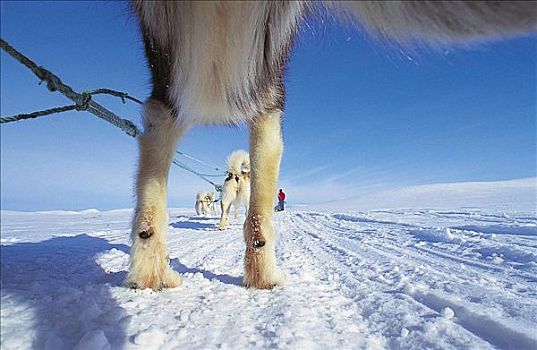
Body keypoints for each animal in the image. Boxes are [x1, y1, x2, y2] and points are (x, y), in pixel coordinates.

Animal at [126, 0, 536, 290]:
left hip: (167, 100)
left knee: (154, 213)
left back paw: (151, 273)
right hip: (268, 105)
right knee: (258, 224)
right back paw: (265, 276)